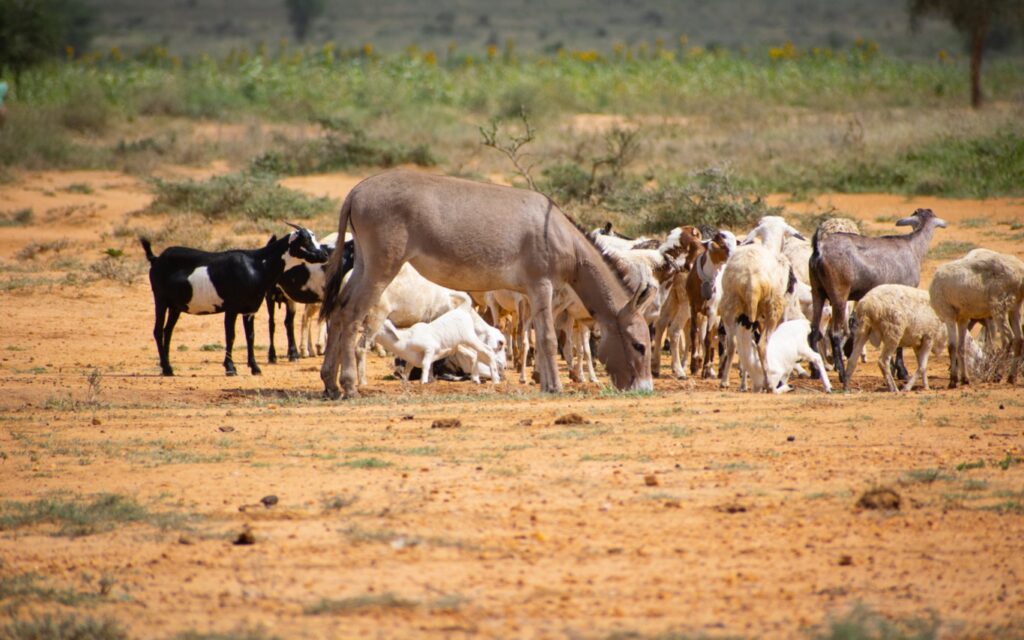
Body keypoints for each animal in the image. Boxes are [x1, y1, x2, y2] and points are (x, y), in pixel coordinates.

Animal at [140, 223, 327, 374]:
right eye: (305, 241)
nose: (323, 254)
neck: (256, 265)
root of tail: (156, 259)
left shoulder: (249, 310)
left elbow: (250, 336)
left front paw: (255, 368)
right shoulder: (231, 309)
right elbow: (231, 335)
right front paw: (230, 368)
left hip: (175, 306)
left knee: (168, 331)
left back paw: (167, 367)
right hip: (160, 299)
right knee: (158, 331)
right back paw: (166, 368)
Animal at [933, 248, 1024, 385]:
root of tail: (1020, 272)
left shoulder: (948, 315)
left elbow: (952, 347)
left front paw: (953, 380)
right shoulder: (963, 318)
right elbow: (961, 347)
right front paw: (964, 379)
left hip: (999, 306)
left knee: (1008, 339)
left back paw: (997, 375)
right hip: (1015, 307)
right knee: (1019, 339)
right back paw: (1011, 377)